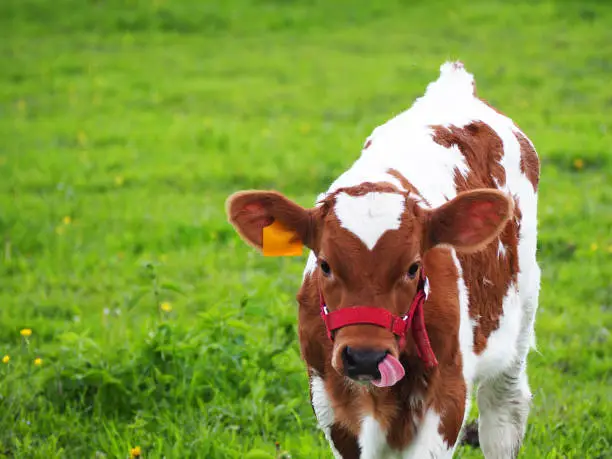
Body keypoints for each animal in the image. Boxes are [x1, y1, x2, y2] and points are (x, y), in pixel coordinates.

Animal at [226, 62, 540, 459]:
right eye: (325, 264)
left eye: (413, 267)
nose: (364, 357)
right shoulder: (329, 399)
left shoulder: (448, 393)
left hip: (520, 322)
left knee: (504, 410)